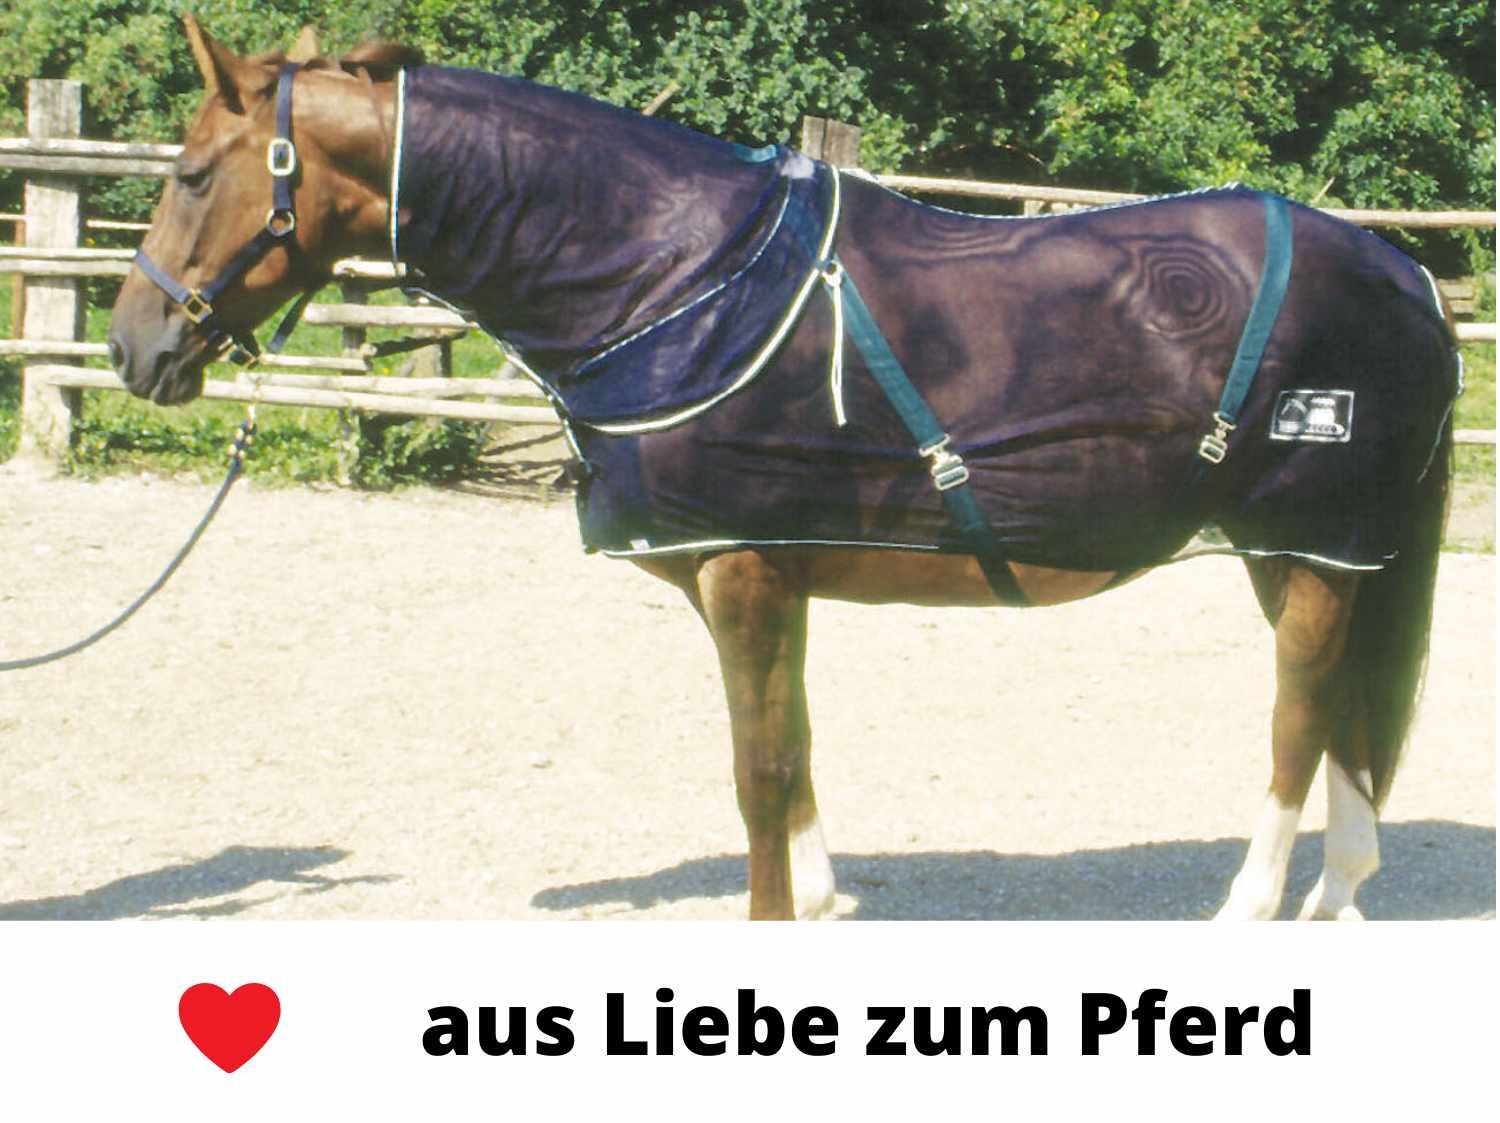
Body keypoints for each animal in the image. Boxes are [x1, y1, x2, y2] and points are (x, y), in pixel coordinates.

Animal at [108, 17, 1460, 921]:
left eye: (190, 174)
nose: (135, 346)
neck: (673, 281)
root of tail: (1405, 274)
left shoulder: (744, 572)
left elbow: (759, 771)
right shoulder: (773, 579)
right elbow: (797, 752)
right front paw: (812, 902)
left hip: (1306, 549)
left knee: (1298, 725)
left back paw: (1251, 914)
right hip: (1319, 557)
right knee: (1346, 726)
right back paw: (1336, 898)